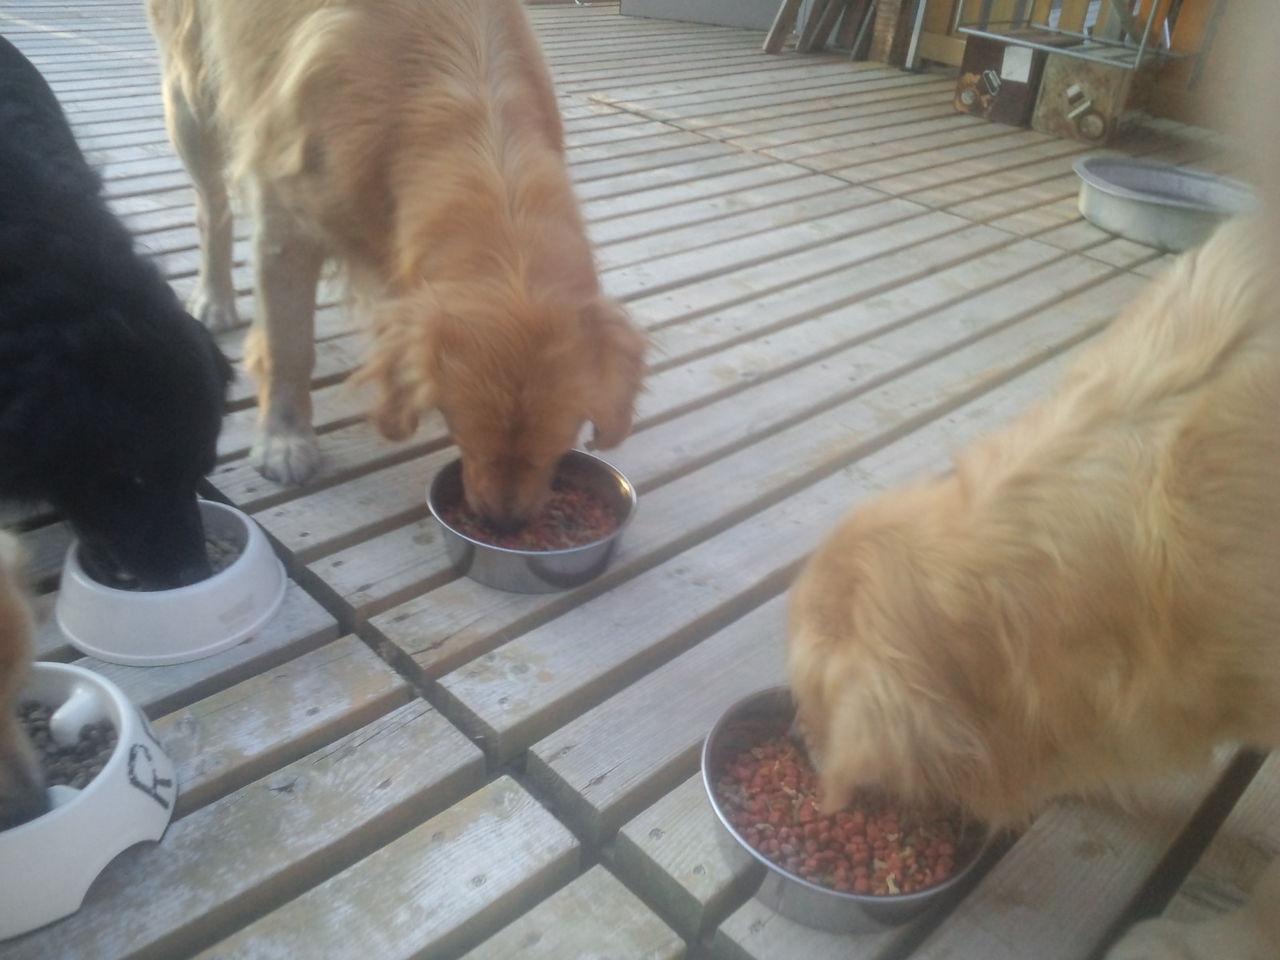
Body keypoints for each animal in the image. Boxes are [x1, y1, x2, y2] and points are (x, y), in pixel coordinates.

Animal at [147, 0, 646, 528]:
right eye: (464, 432)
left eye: (557, 445)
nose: (503, 524)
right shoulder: (284, 217)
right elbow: (288, 348)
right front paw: (284, 441)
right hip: (191, 91)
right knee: (211, 204)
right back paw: (214, 298)